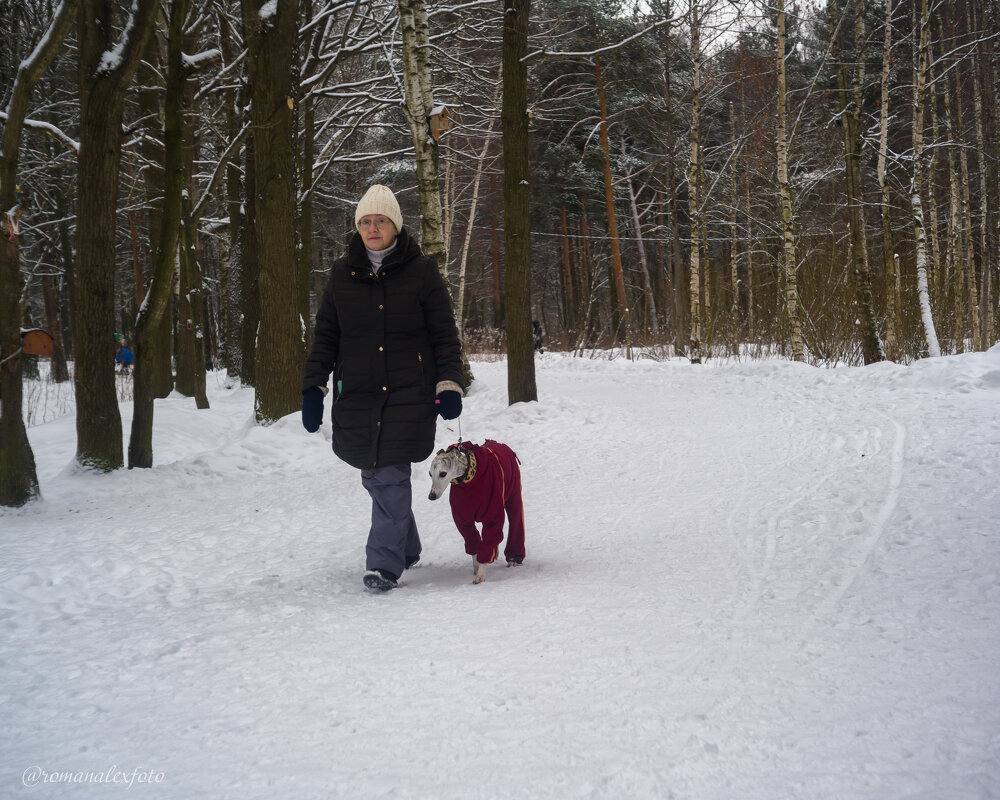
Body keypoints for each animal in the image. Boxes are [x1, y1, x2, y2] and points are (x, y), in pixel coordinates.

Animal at [428, 440, 528, 584]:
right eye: (430, 474)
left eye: (443, 473)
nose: (431, 496)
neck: (469, 479)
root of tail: (500, 444)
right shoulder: (463, 521)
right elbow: (473, 540)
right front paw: (476, 566)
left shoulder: (493, 516)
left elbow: (489, 539)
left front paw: (480, 574)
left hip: (513, 493)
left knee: (515, 520)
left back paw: (513, 559)